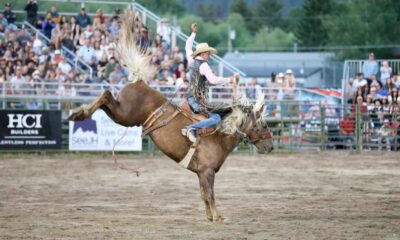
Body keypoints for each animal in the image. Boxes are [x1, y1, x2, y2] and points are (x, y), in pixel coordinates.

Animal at [69, 10, 276, 222]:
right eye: (264, 125)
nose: (270, 147)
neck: (220, 135)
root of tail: (139, 81)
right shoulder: (207, 171)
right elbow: (210, 194)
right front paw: (217, 216)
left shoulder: (201, 173)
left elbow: (204, 195)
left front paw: (211, 216)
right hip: (125, 115)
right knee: (105, 95)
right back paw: (78, 113)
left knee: (106, 99)